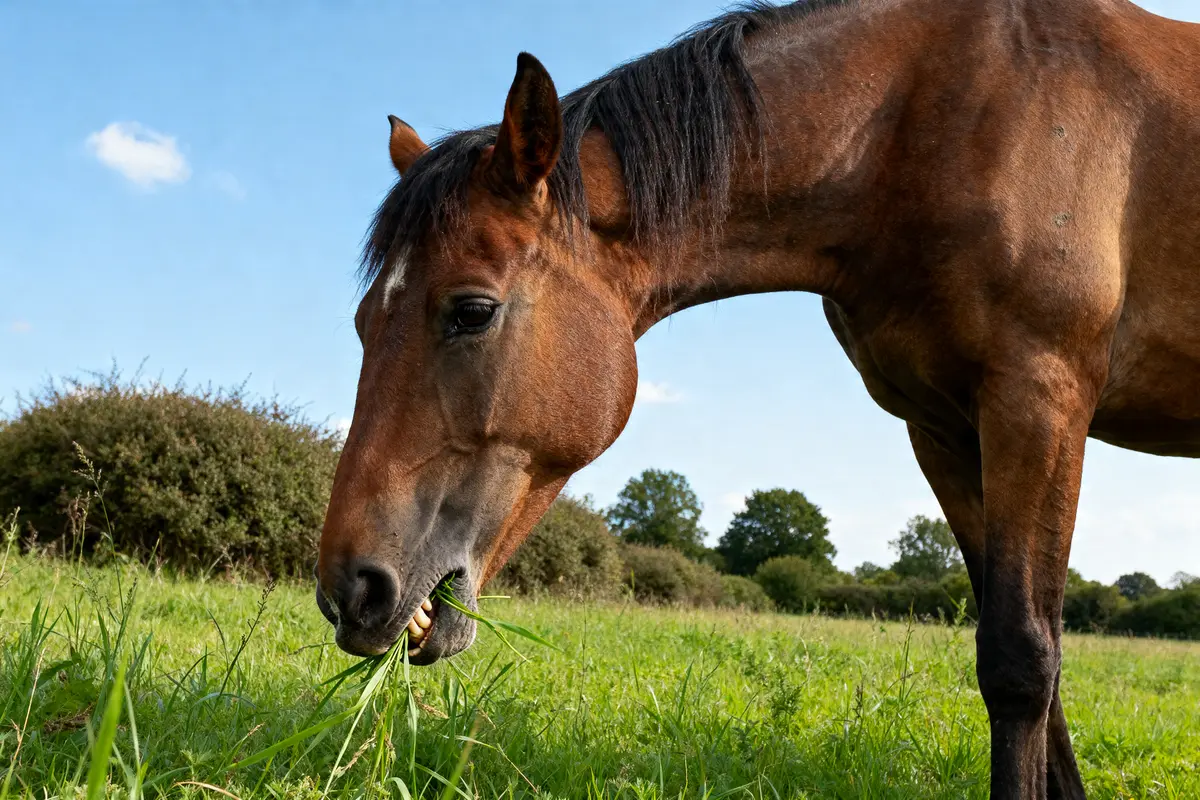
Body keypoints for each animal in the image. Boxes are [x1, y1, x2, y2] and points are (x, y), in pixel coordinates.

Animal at [315, 0, 1200, 796]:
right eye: (362, 321)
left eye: (472, 311)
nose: (348, 590)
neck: (946, 118)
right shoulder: (944, 428)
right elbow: (1031, 659)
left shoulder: (1038, 402)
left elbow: (1021, 658)